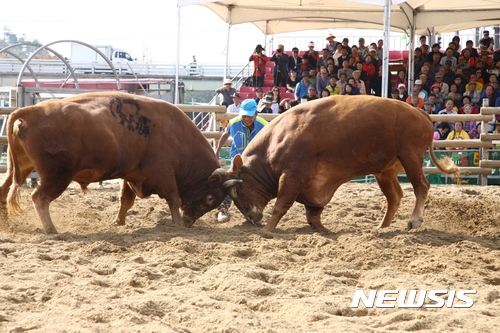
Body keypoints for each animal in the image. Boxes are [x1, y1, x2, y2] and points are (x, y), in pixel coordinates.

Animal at [0, 89, 229, 232]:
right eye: (210, 198)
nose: (189, 221)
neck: (176, 133)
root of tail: (31, 112)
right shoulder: (163, 172)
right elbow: (174, 198)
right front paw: (177, 223)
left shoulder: (132, 175)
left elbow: (126, 201)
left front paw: (118, 222)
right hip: (56, 175)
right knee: (40, 198)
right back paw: (51, 229)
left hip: (19, 168)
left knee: (4, 190)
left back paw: (6, 223)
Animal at [225, 94, 458, 232]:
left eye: (237, 191)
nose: (252, 218)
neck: (278, 139)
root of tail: (420, 112)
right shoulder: (314, 184)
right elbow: (313, 212)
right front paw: (323, 230)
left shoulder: (293, 176)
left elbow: (281, 205)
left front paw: (268, 230)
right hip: (385, 170)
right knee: (394, 196)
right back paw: (381, 227)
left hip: (410, 157)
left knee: (421, 186)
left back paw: (414, 220)